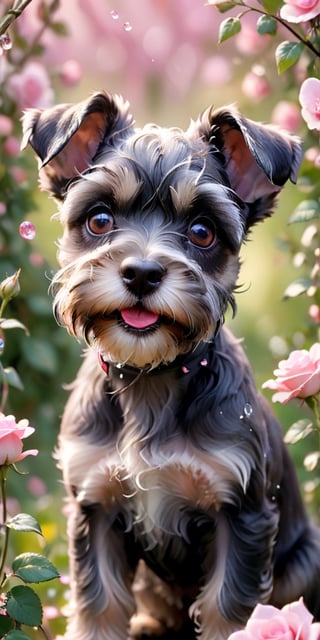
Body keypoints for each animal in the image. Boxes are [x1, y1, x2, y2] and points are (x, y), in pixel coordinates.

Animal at [21, 94, 320, 640]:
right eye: (99, 220)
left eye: (202, 232)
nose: (141, 272)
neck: (152, 377)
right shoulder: (95, 506)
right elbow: (99, 605)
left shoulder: (240, 516)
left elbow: (230, 612)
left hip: (305, 556)